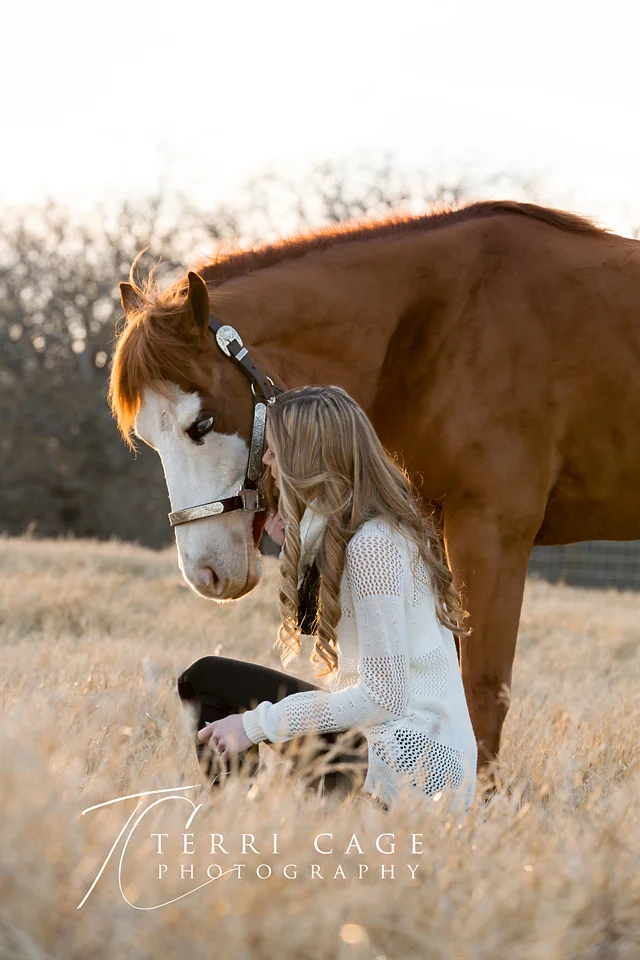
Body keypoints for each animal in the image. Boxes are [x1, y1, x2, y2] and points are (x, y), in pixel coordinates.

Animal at [108, 199, 640, 772]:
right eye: (148, 438)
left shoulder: (494, 532)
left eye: (202, 424)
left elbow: (482, 691)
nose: (205, 574)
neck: (446, 324)